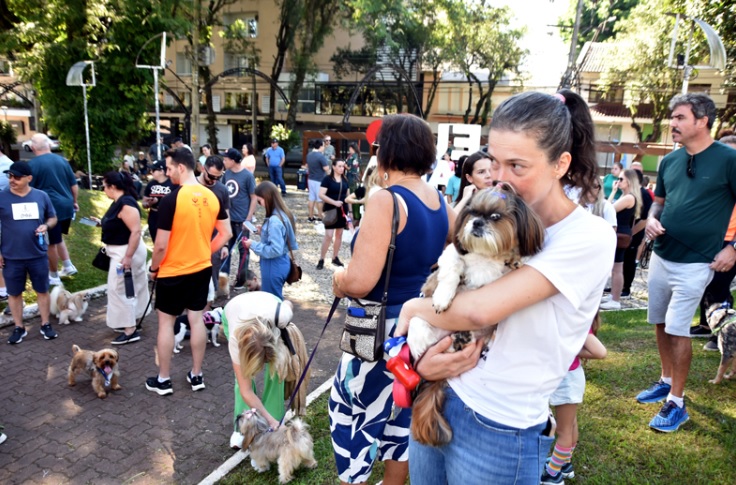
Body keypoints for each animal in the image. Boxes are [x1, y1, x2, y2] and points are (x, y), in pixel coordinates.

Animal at [407, 184, 545, 446]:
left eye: (496, 216)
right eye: (471, 213)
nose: (477, 223)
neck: (485, 256)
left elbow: (513, 261)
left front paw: (518, 258)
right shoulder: (451, 254)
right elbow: (452, 269)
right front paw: (443, 296)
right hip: (422, 328)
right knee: (421, 335)